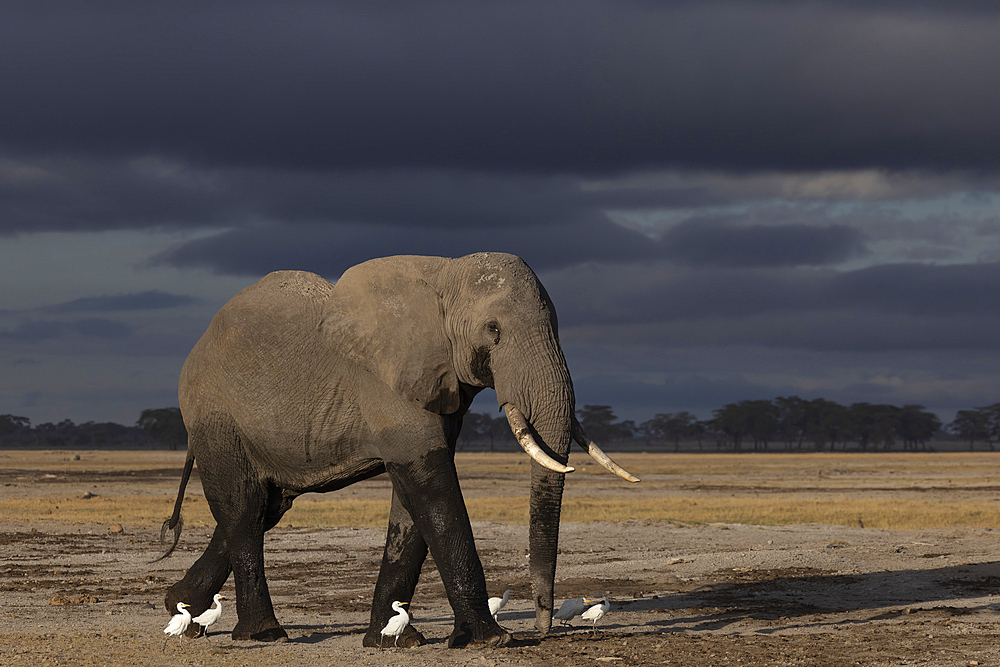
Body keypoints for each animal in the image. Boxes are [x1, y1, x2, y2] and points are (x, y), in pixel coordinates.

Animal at [159, 250, 636, 648]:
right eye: (494, 331)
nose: (542, 628)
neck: (445, 274)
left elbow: (412, 498)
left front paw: (398, 641)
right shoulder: (388, 383)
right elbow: (431, 485)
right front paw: (490, 640)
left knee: (266, 507)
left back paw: (182, 607)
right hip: (215, 417)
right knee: (244, 508)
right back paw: (263, 634)